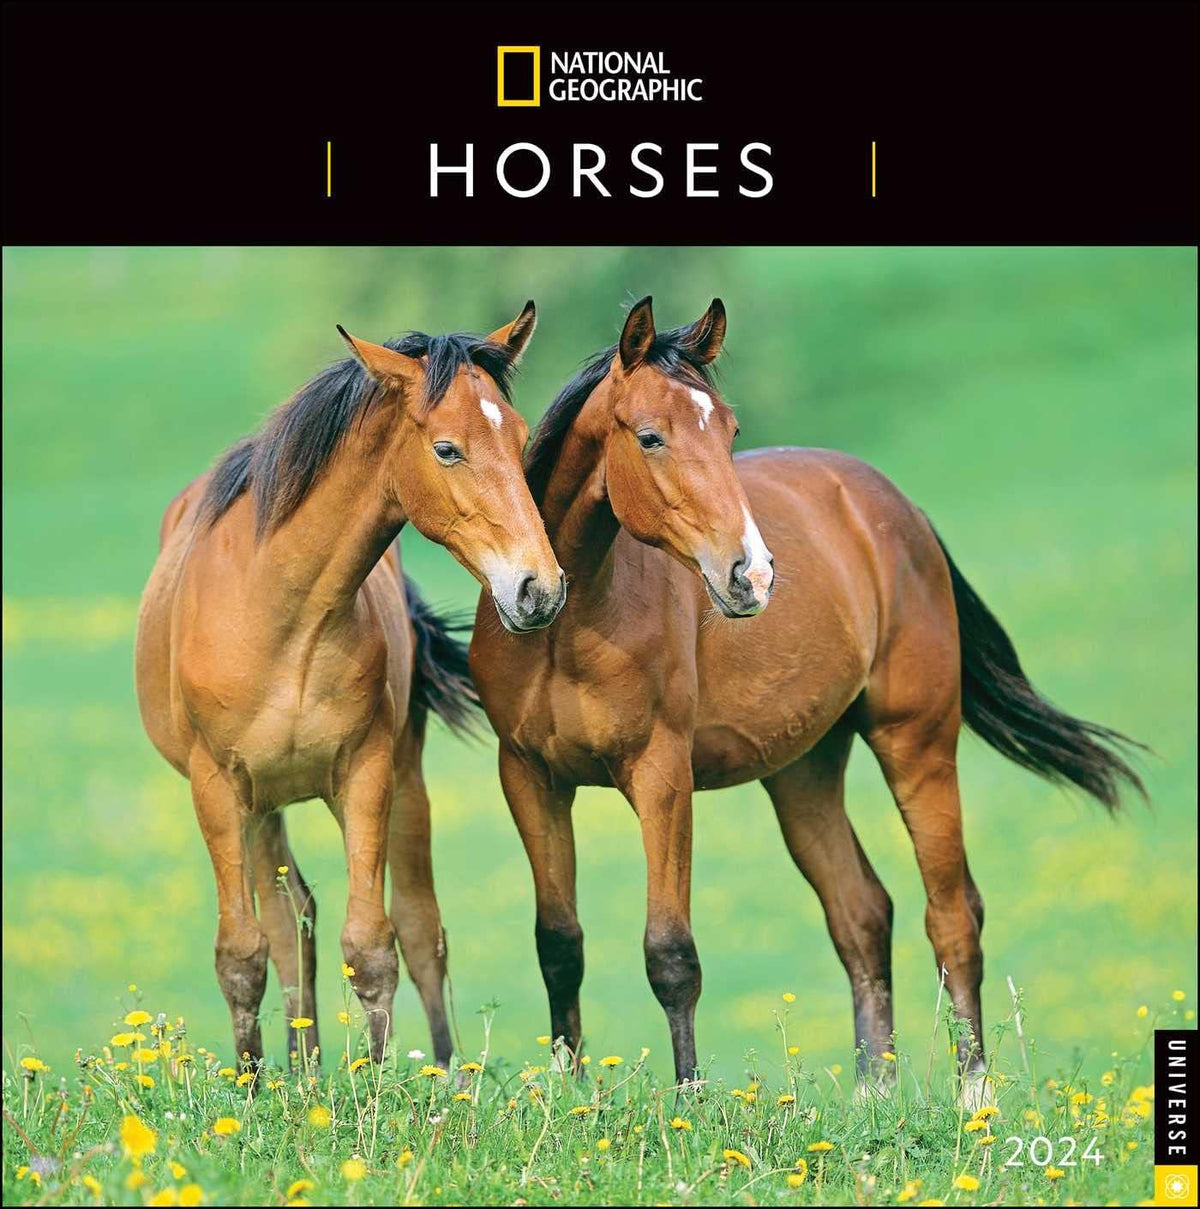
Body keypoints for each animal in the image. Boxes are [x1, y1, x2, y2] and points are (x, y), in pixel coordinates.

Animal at [135, 304, 566, 1070]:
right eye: (448, 449)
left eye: (519, 438)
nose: (537, 589)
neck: (282, 615)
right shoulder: (217, 786)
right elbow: (241, 952)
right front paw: (249, 1087)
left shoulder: (364, 773)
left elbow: (371, 945)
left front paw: (376, 1082)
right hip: (260, 806)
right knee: (289, 920)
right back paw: (298, 1075)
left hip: (398, 781)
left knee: (418, 926)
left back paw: (439, 1074)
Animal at [468, 296, 1144, 1093]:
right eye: (650, 436)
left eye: (730, 430)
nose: (752, 575)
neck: (565, 625)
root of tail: (898, 509)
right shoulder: (530, 778)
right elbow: (559, 945)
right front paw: (570, 1097)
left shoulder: (662, 776)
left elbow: (671, 954)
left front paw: (689, 1100)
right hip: (804, 771)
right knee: (862, 913)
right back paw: (874, 1091)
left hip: (916, 743)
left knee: (952, 914)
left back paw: (974, 1094)